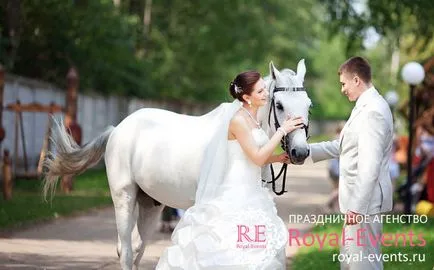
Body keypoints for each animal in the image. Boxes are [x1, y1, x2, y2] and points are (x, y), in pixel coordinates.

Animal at [42, 60, 312, 268]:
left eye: (308, 104)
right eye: (279, 105)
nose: (300, 152)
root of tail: (117, 129)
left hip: (150, 204)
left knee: (138, 248)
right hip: (124, 197)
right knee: (127, 251)